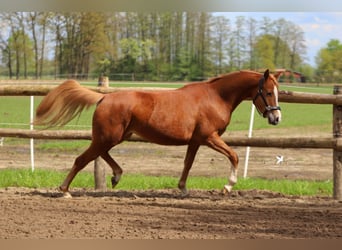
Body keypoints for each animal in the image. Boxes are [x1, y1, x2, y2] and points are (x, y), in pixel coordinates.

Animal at [34, 69, 280, 197]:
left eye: (278, 91)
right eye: (268, 92)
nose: (276, 118)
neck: (216, 96)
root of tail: (104, 97)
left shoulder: (195, 140)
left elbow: (187, 164)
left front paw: (183, 189)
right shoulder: (210, 137)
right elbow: (234, 155)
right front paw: (228, 186)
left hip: (115, 136)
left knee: (99, 154)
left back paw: (116, 175)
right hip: (109, 136)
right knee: (82, 158)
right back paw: (65, 190)